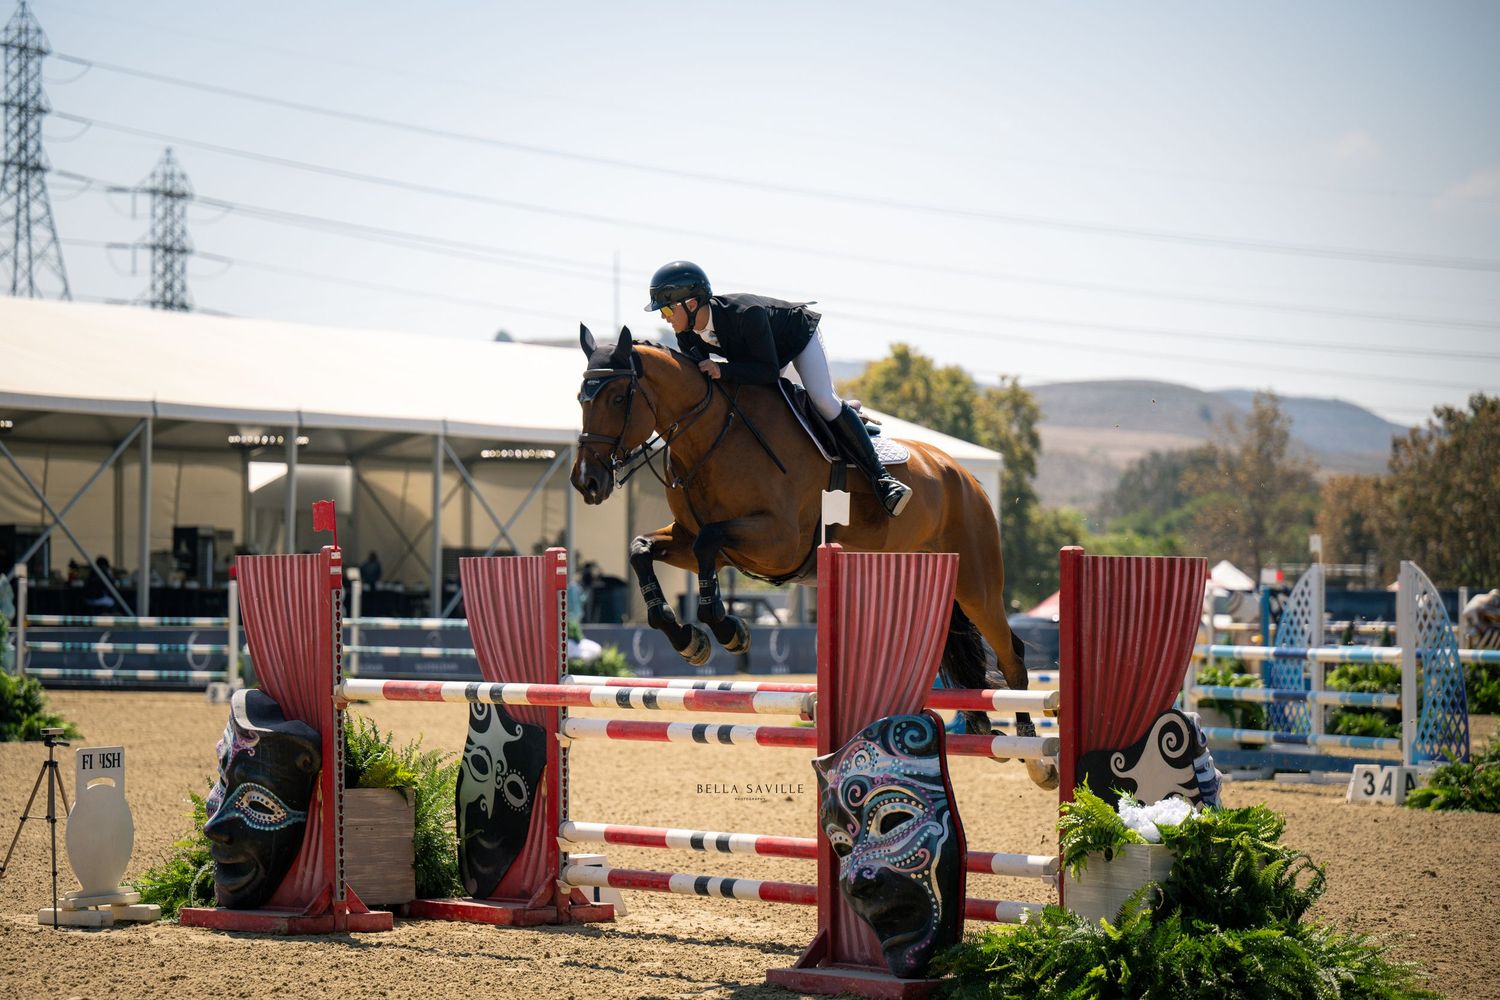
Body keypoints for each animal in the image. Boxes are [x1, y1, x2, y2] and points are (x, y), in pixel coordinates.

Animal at [570, 326, 1057, 789]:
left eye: (618, 397)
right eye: (580, 399)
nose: (586, 482)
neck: (711, 434)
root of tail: (964, 475)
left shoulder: (777, 541)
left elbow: (710, 543)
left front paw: (728, 630)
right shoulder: (694, 542)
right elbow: (641, 550)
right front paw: (686, 637)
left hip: (976, 583)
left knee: (1011, 655)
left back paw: (1036, 757)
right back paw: (980, 728)